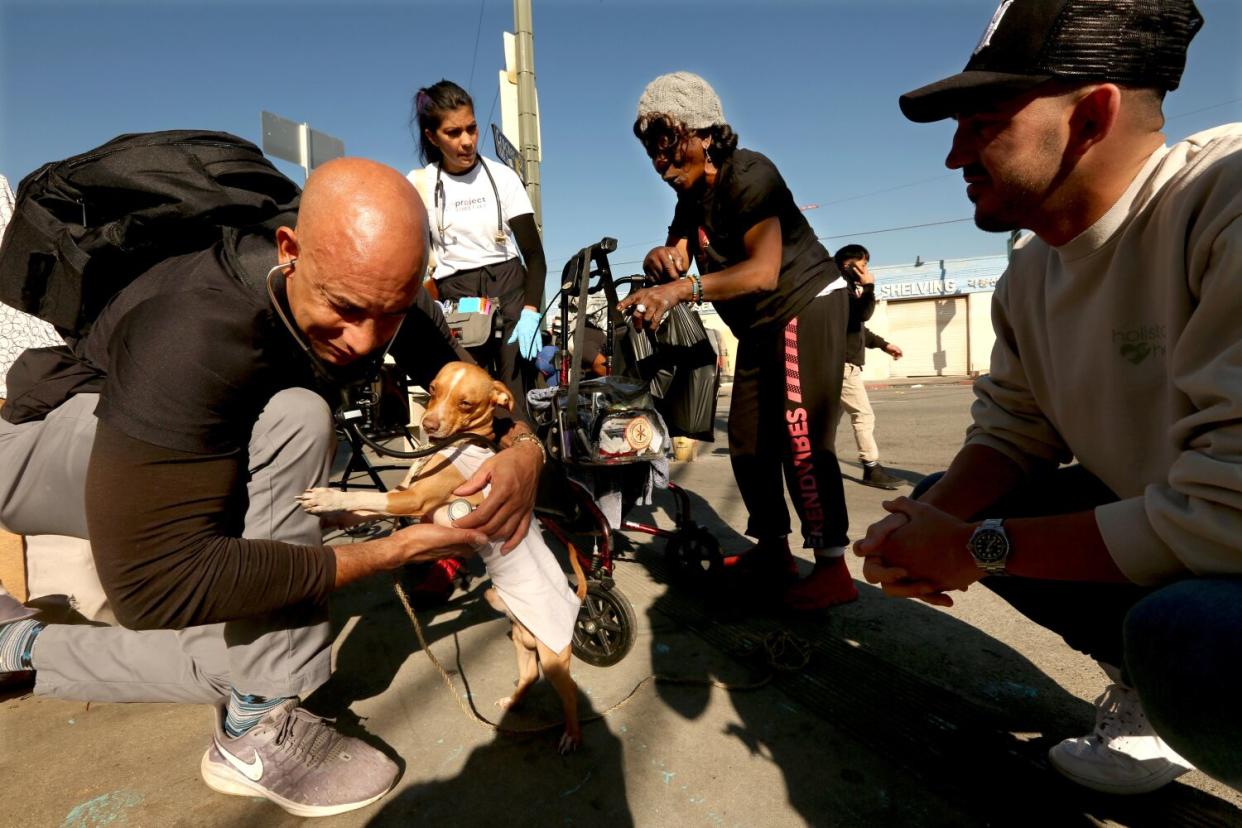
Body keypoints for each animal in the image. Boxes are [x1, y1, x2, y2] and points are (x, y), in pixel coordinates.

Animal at [303, 360, 588, 749]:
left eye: (466, 404)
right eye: (434, 389)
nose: (428, 424)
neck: (460, 445)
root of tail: (575, 597)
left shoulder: (412, 499)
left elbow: (367, 498)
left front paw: (328, 497)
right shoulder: (405, 493)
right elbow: (363, 510)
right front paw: (332, 517)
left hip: (553, 654)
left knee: (571, 691)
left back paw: (572, 734)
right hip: (518, 634)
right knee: (529, 675)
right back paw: (512, 703)